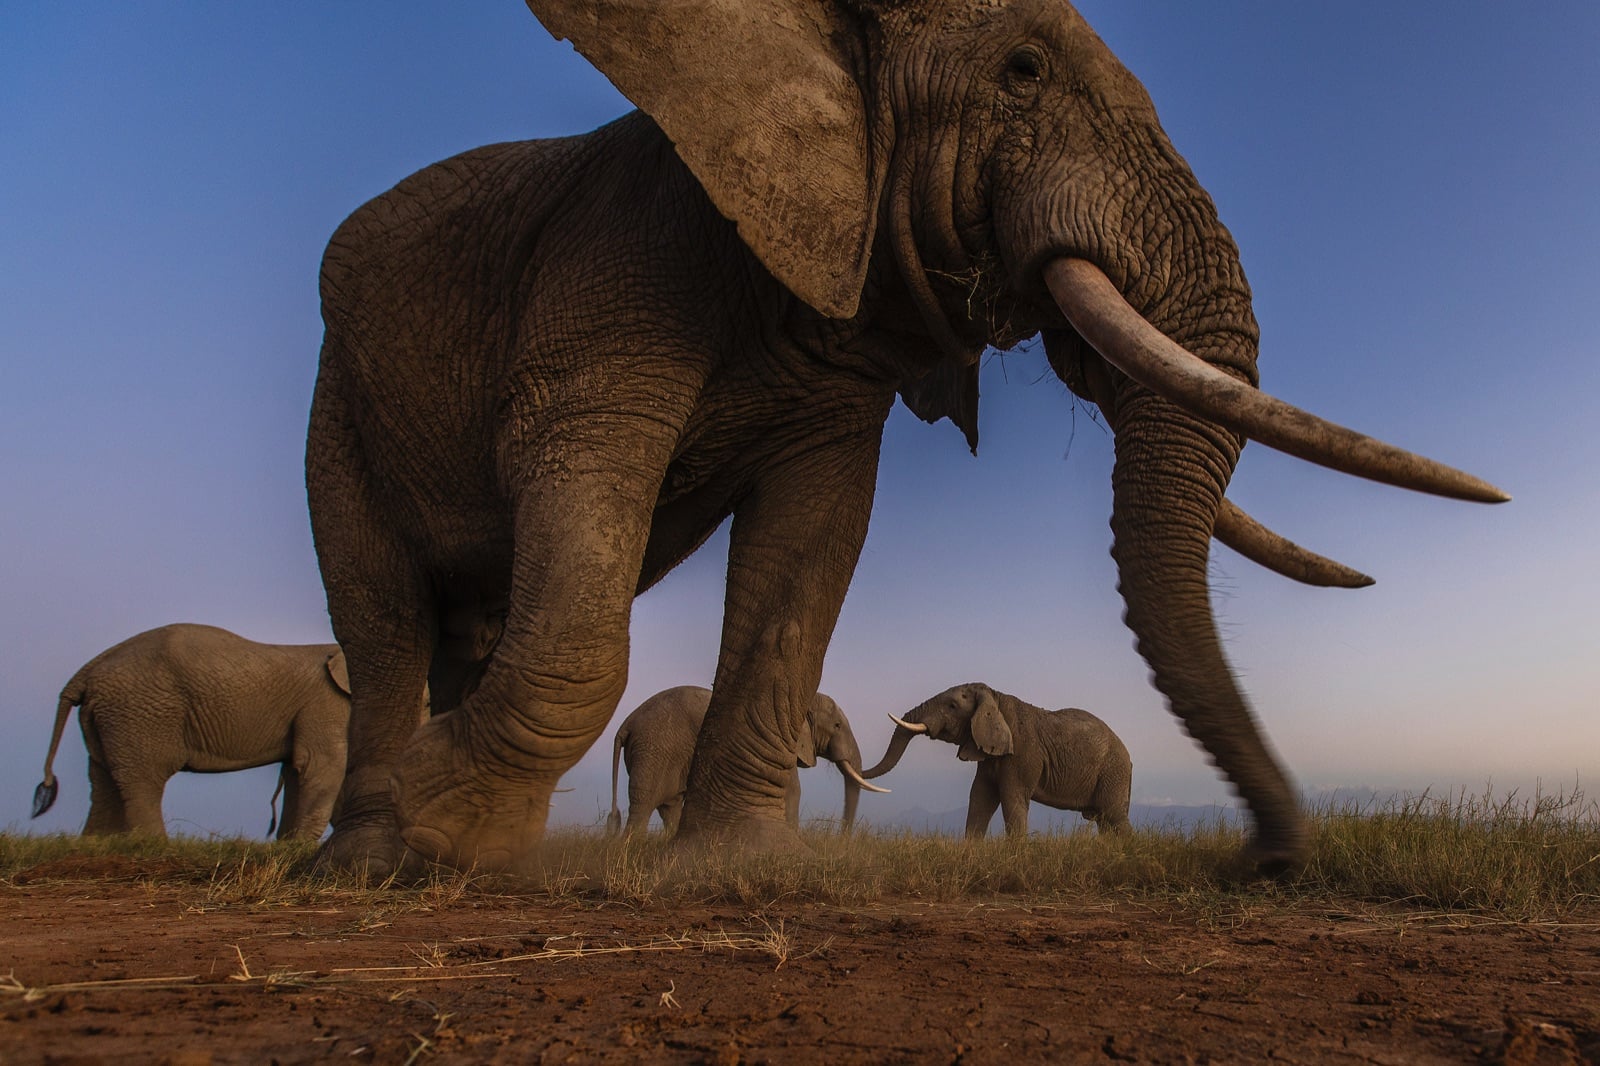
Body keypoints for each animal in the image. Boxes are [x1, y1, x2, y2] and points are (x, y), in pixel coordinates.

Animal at [32, 624, 403, 840]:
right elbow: (323, 766)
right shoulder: (327, 703)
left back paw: (95, 846)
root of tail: (86, 672)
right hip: (141, 714)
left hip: (108, 717)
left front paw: (285, 848)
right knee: (143, 780)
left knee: (102, 780)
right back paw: (157, 848)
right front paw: (298, 848)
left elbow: (297, 772)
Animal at [607, 685, 884, 837]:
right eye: (836, 725)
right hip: (655, 749)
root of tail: (627, 723)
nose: (843, 837)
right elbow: (792, 791)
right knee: (644, 804)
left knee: (669, 806)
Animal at [861, 683, 1131, 838]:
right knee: (1105, 821)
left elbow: (1011, 799)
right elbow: (980, 797)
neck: (995, 698)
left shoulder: (1022, 752)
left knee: (1114, 816)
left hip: (1113, 770)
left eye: (952, 705)